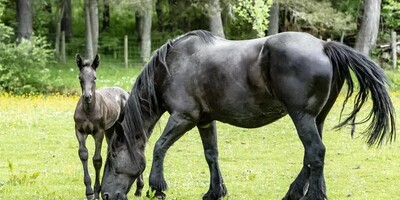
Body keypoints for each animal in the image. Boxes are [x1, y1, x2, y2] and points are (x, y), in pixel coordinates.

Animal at [74, 54, 145, 199]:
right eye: (80, 78)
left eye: (94, 77)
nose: (87, 96)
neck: (88, 110)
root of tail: (125, 92)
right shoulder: (79, 131)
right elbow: (84, 155)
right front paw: (89, 191)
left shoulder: (98, 132)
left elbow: (97, 160)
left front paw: (96, 191)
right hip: (110, 130)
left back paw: (139, 188)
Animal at [99, 30, 394, 200]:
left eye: (112, 158)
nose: (105, 195)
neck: (172, 66)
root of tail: (324, 45)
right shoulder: (205, 121)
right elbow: (211, 155)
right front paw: (214, 192)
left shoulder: (184, 118)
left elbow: (159, 147)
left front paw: (157, 186)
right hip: (316, 119)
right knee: (312, 156)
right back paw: (297, 193)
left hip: (301, 116)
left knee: (315, 153)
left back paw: (310, 196)